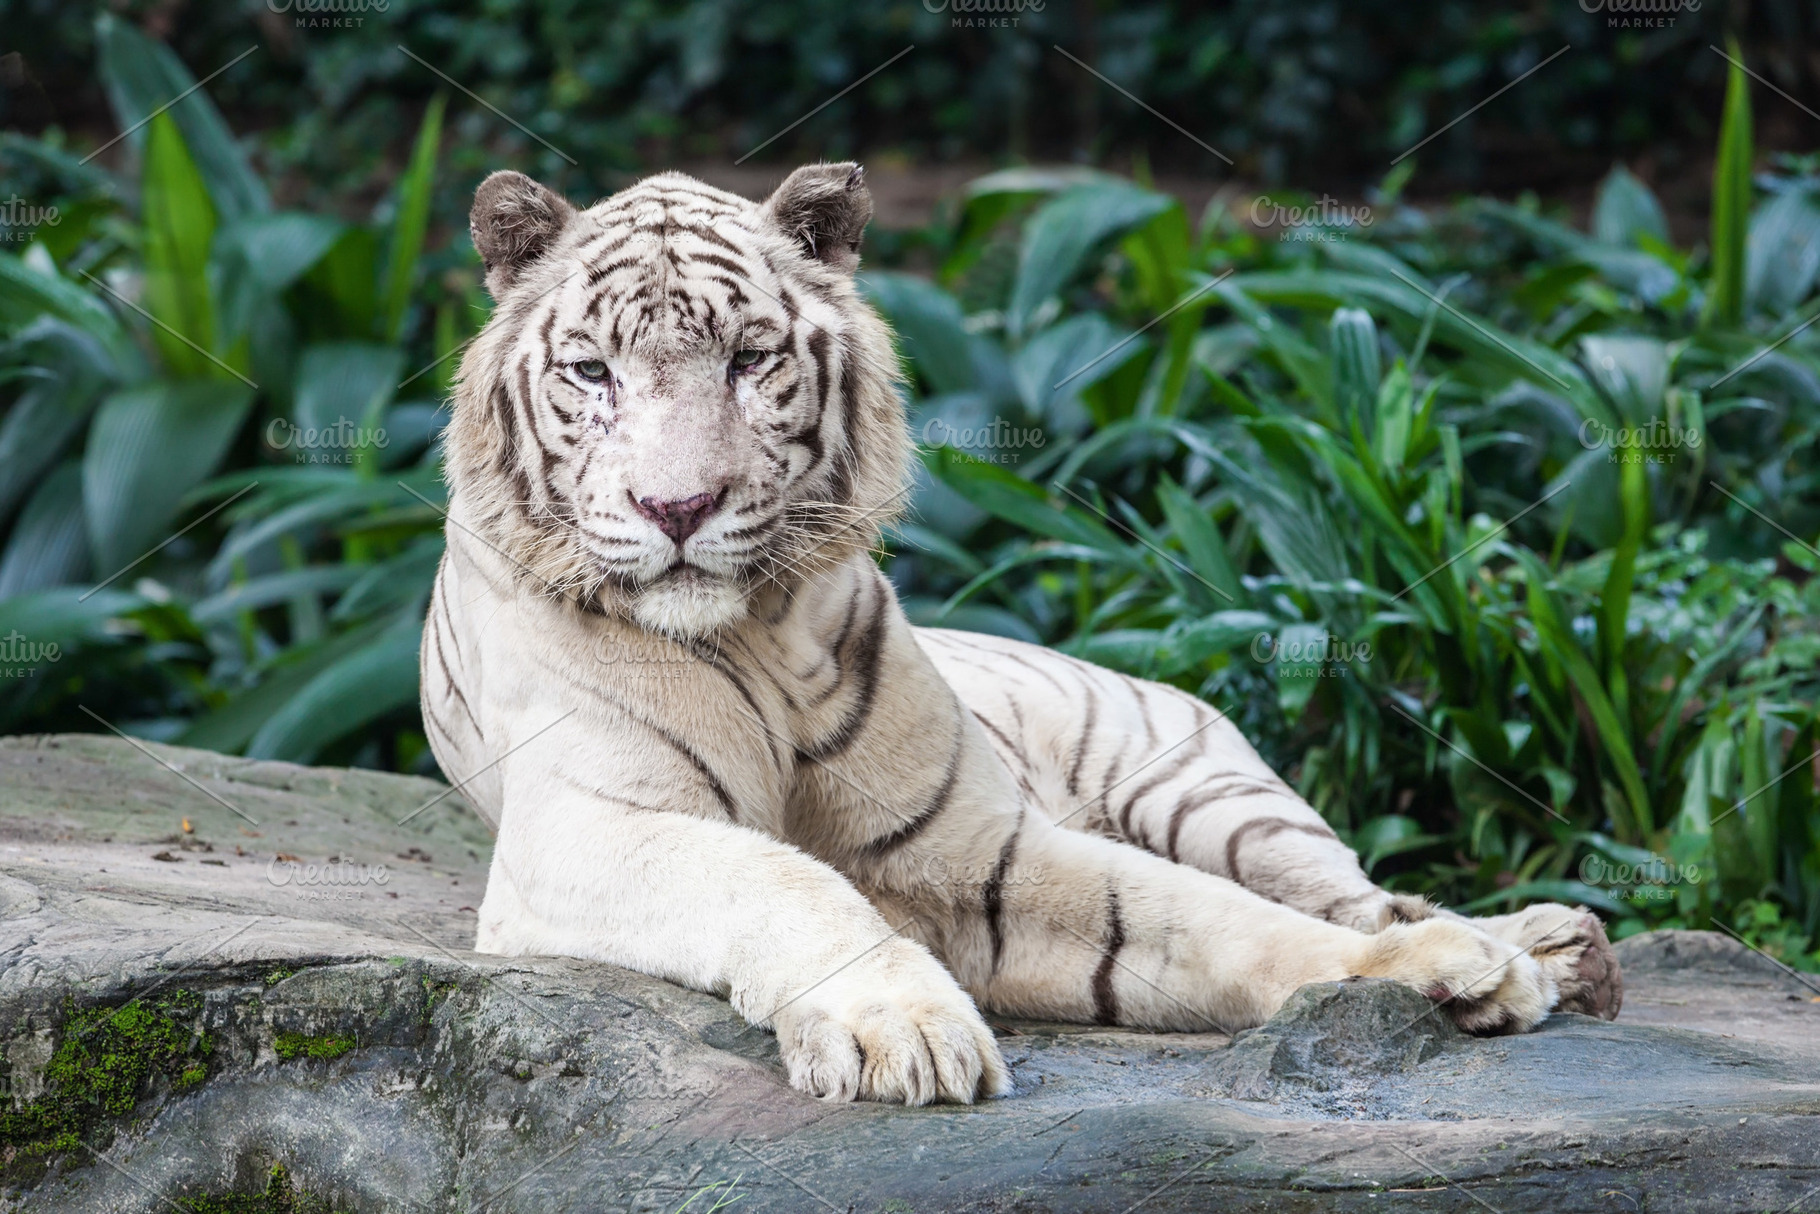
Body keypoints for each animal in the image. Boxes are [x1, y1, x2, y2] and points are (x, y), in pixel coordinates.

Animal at [420, 162, 1622, 1108]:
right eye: (593, 372)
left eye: (750, 360)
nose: (677, 508)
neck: (758, 632)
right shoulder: (585, 830)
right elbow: (778, 881)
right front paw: (902, 1028)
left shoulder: (974, 845)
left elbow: (1204, 919)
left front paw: (1444, 966)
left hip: (1218, 798)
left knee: (1347, 882)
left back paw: (1552, 943)